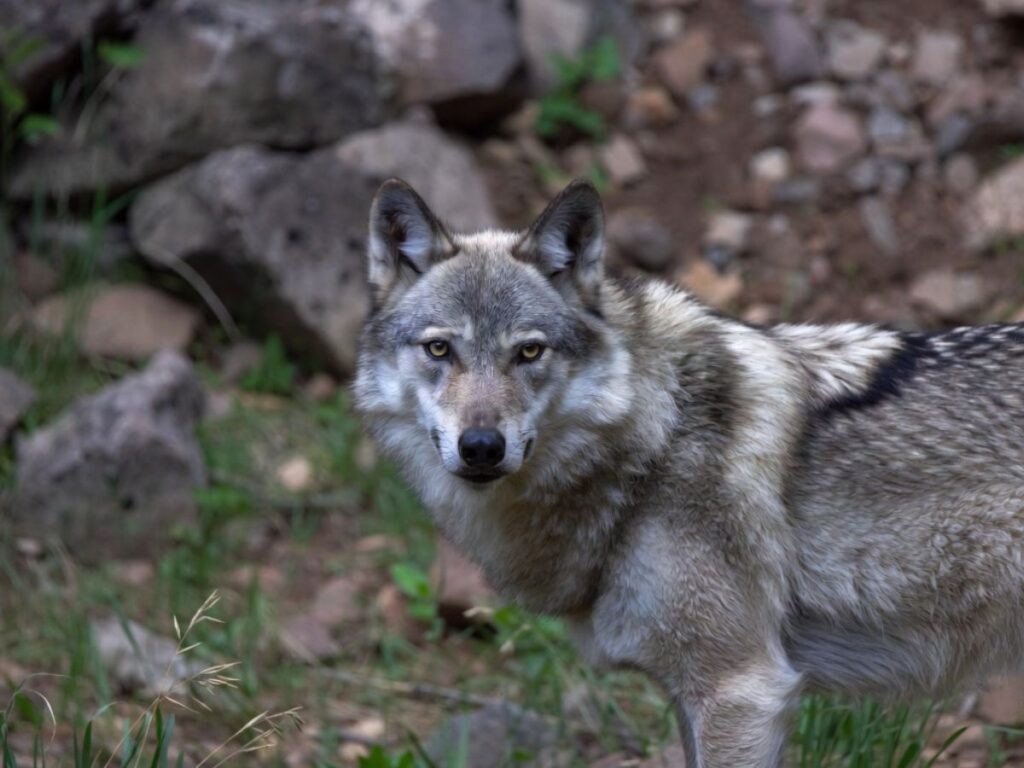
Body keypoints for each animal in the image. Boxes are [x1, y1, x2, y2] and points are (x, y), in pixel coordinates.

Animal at [354, 177, 1024, 767]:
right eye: (440, 349)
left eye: (529, 351)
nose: (481, 447)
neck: (653, 443)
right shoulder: (692, 693)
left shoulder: (741, 691)